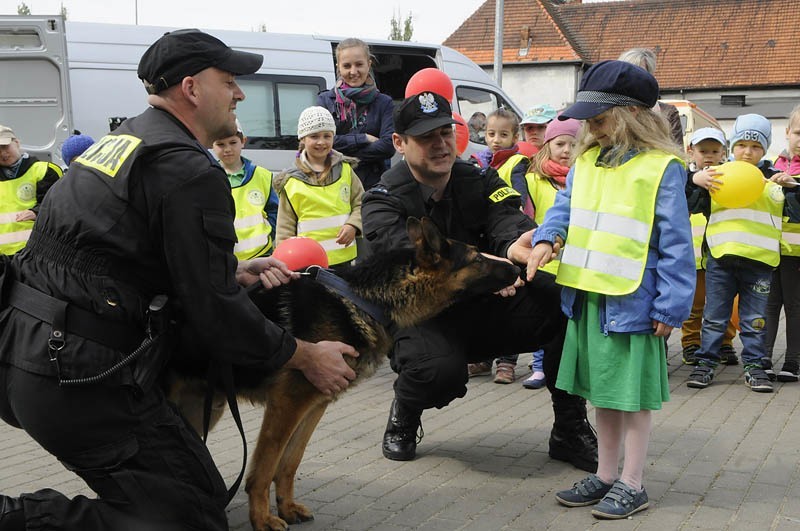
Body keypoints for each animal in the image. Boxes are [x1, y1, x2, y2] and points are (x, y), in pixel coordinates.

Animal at [169, 217, 520, 531]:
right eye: (476, 257)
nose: (517, 269)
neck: (362, 299)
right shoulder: (287, 404)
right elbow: (264, 468)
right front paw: (262, 519)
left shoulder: (313, 406)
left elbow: (289, 463)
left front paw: (287, 507)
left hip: (204, 408)